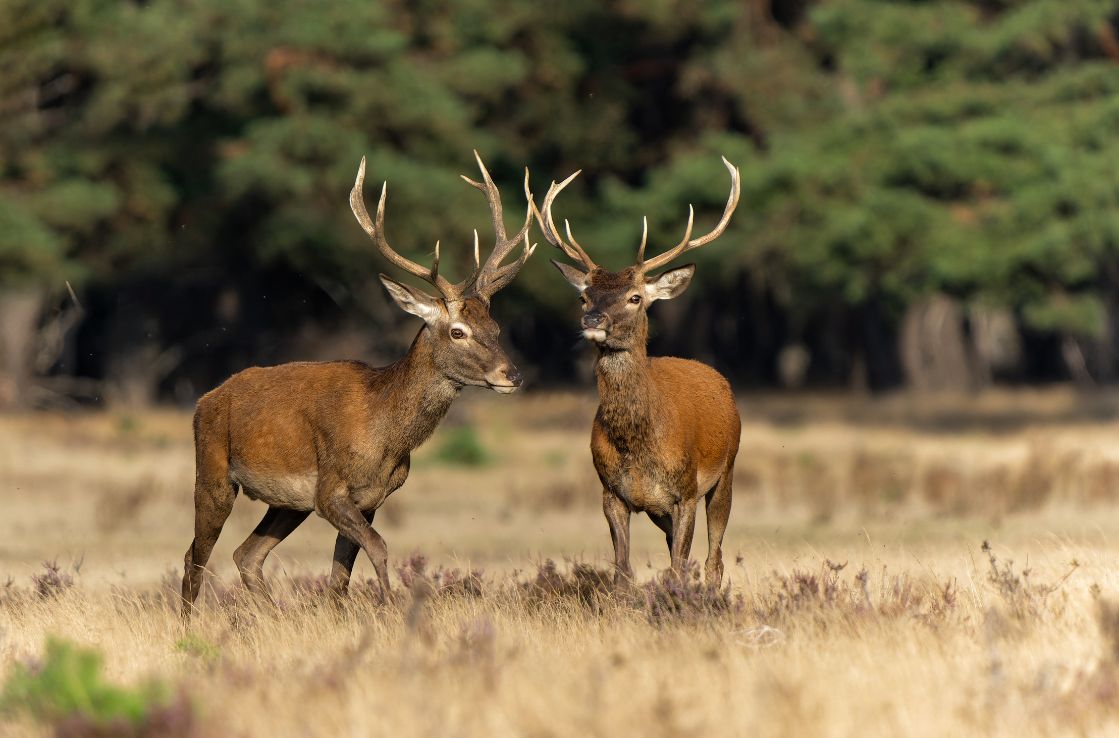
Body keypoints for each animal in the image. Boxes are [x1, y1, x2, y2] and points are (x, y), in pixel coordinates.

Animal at [180, 153, 537, 612]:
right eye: (458, 331)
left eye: (496, 327)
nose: (513, 374)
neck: (386, 436)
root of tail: (204, 400)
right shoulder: (330, 489)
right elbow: (379, 547)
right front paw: (393, 606)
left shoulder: (370, 499)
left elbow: (341, 576)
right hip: (212, 471)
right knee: (195, 557)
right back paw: (191, 622)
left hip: (287, 503)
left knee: (246, 554)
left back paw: (272, 615)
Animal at [534, 158, 738, 585]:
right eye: (584, 296)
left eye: (634, 297)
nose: (592, 319)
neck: (639, 444)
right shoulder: (612, 493)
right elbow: (623, 572)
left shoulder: (685, 492)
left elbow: (678, 569)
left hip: (727, 469)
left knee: (714, 558)